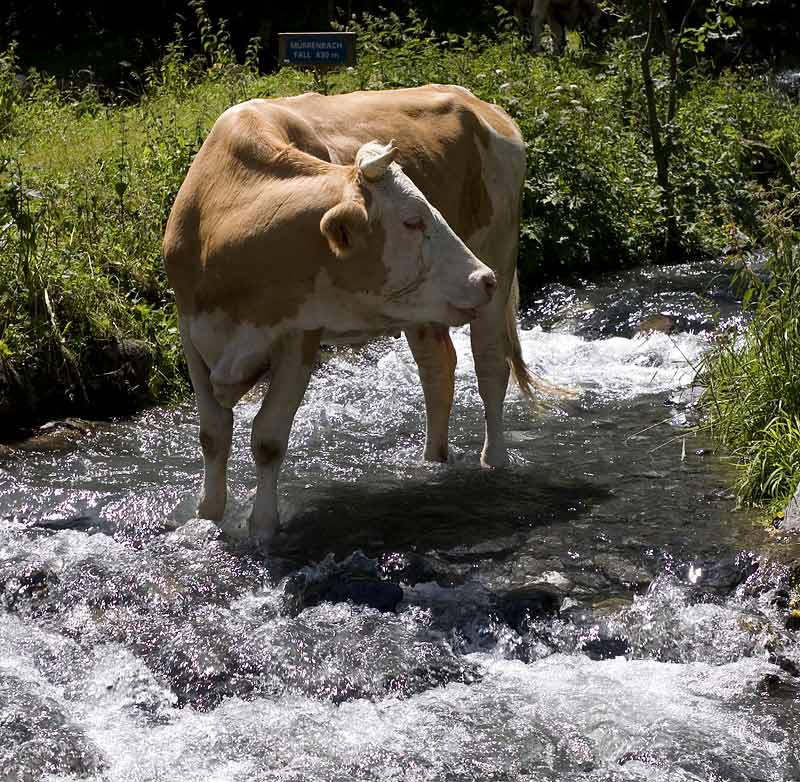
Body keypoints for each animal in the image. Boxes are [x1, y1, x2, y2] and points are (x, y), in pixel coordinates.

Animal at [162, 82, 536, 544]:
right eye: (413, 220)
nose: (481, 278)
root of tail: (478, 103)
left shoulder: (299, 337)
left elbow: (268, 438)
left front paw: (263, 527)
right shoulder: (191, 331)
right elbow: (213, 435)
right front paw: (208, 516)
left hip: (497, 265)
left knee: (489, 370)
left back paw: (493, 461)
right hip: (426, 308)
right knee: (437, 370)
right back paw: (432, 462)